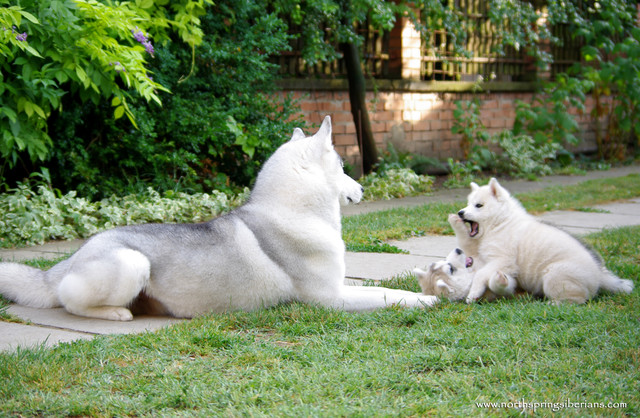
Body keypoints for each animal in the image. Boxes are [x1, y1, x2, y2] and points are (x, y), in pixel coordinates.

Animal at [0, 116, 438, 322]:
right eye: (343, 166)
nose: (362, 188)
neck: (290, 211)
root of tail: (66, 262)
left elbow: (385, 288)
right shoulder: (331, 299)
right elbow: (389, 296)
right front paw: (429, 298)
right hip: (131, 262)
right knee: (69, 301)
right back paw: (114, 313)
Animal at [458, 177, 632, 304]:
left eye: (478, 205)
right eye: (468, 204)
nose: (460, 212)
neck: (500, 223)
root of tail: (599, 276)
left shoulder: (502, 260)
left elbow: (480, 274)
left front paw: (472, 295)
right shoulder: (506, 268)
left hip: (554, 275)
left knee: (578, 299)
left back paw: (552, 303)